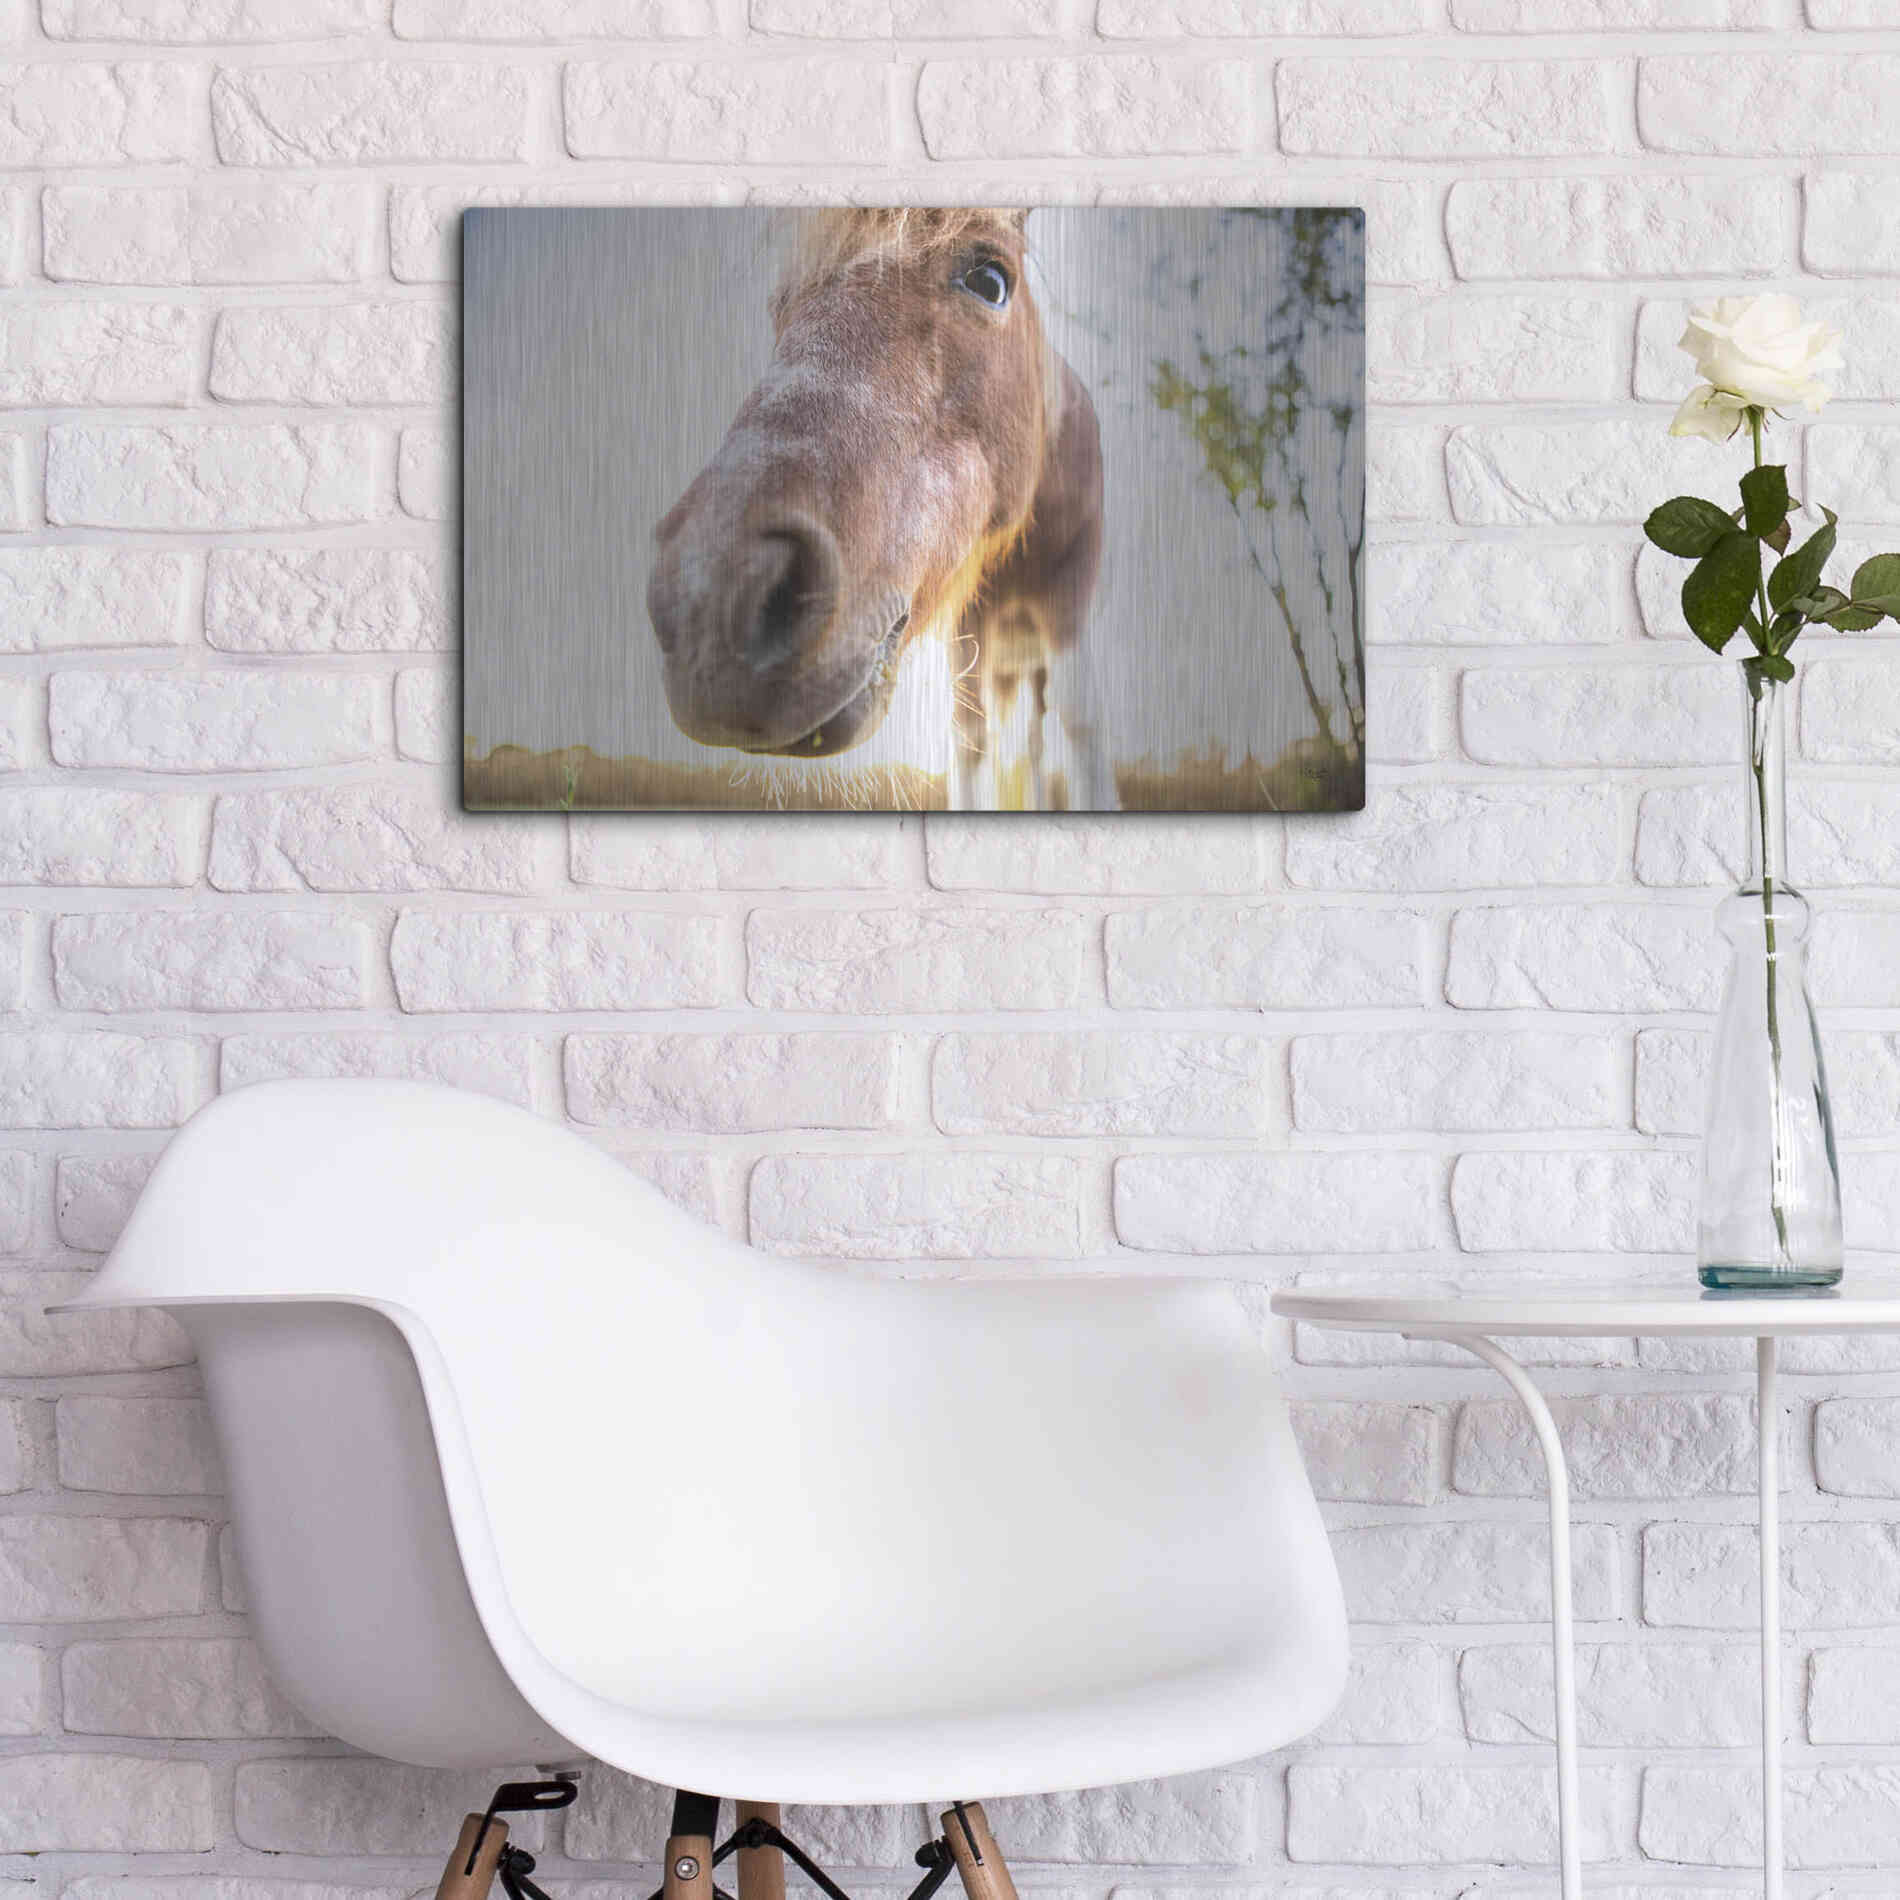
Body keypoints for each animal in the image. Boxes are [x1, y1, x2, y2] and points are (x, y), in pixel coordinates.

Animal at [645, 208, 1113, 811]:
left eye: (989, 280)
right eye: (782, 304)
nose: (706, 598)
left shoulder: (1068, 601)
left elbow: (1078, 726)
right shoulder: (967, 630)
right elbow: (969, 738)